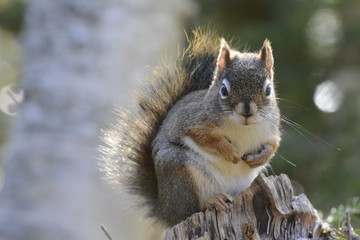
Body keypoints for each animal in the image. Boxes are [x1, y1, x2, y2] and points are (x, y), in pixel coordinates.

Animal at [100, 29, 282, 230]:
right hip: (179, 172)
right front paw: (229, 152)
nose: (247, 111)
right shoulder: (191, 121)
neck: (242, 127)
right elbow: (206, 137)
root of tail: (164, 210)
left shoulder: (271, 130)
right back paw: (212, 201)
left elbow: (274, 144)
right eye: (224, 90)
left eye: (268, 89)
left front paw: (261, 157)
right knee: (191, 209)